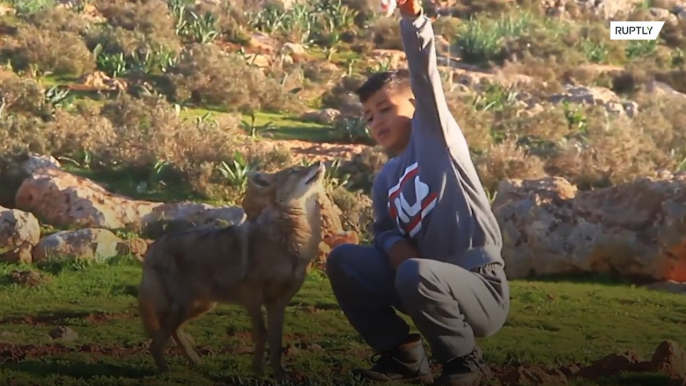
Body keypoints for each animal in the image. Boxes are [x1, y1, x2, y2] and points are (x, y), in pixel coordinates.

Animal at [137, 161, 328, 380]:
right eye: (295, 171)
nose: (320, 162)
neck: (292, 238)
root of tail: (153, 248)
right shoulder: (252, 296)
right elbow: (262, 333)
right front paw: (258, 369)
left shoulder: (278, 303)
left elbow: (276, 342)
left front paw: (280, 375)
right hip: (185, 306)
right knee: (157, 341)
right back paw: (167, 372)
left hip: (199, 306)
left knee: (174, 332)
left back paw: (195, 360)